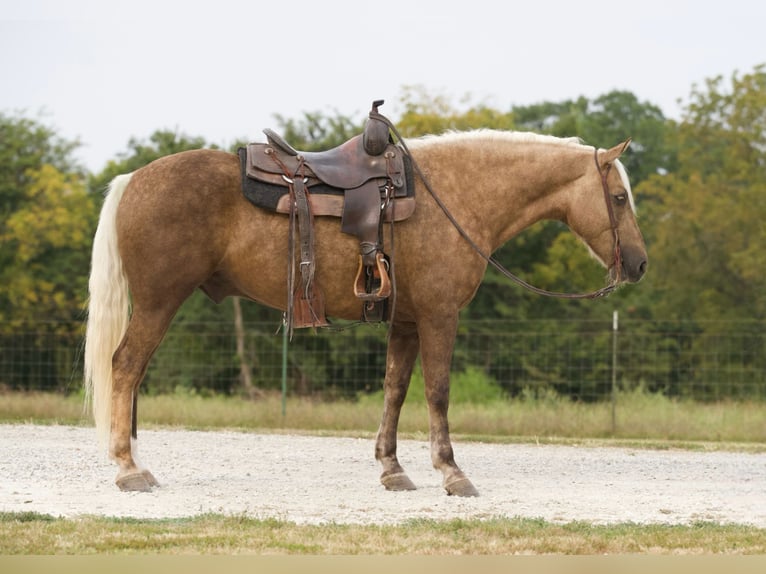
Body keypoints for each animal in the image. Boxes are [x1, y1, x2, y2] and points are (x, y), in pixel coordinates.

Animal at [84, 128, 648, 498]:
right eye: (619, 197)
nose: (640, 264)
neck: (457, 196)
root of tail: (132, 179)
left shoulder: (406, 321)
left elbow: (394, 390)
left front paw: (393, 470)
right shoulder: (440, 317)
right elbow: (438, 391)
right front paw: (452, 473)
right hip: (158, 303)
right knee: (125, 368)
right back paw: (128, 470)